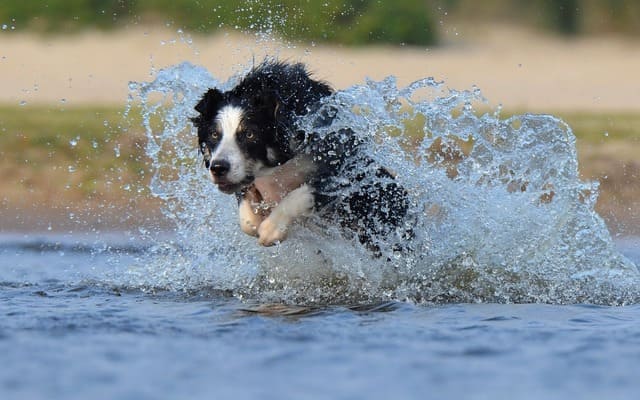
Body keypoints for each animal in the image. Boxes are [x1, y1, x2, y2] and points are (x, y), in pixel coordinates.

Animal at [191, 61, 410, 255]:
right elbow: (247, 219)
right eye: (214, 134)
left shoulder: (341, 167)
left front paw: (271, 229)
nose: (218, 168)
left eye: (250, 134)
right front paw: (256, 221)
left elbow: (302, 194)